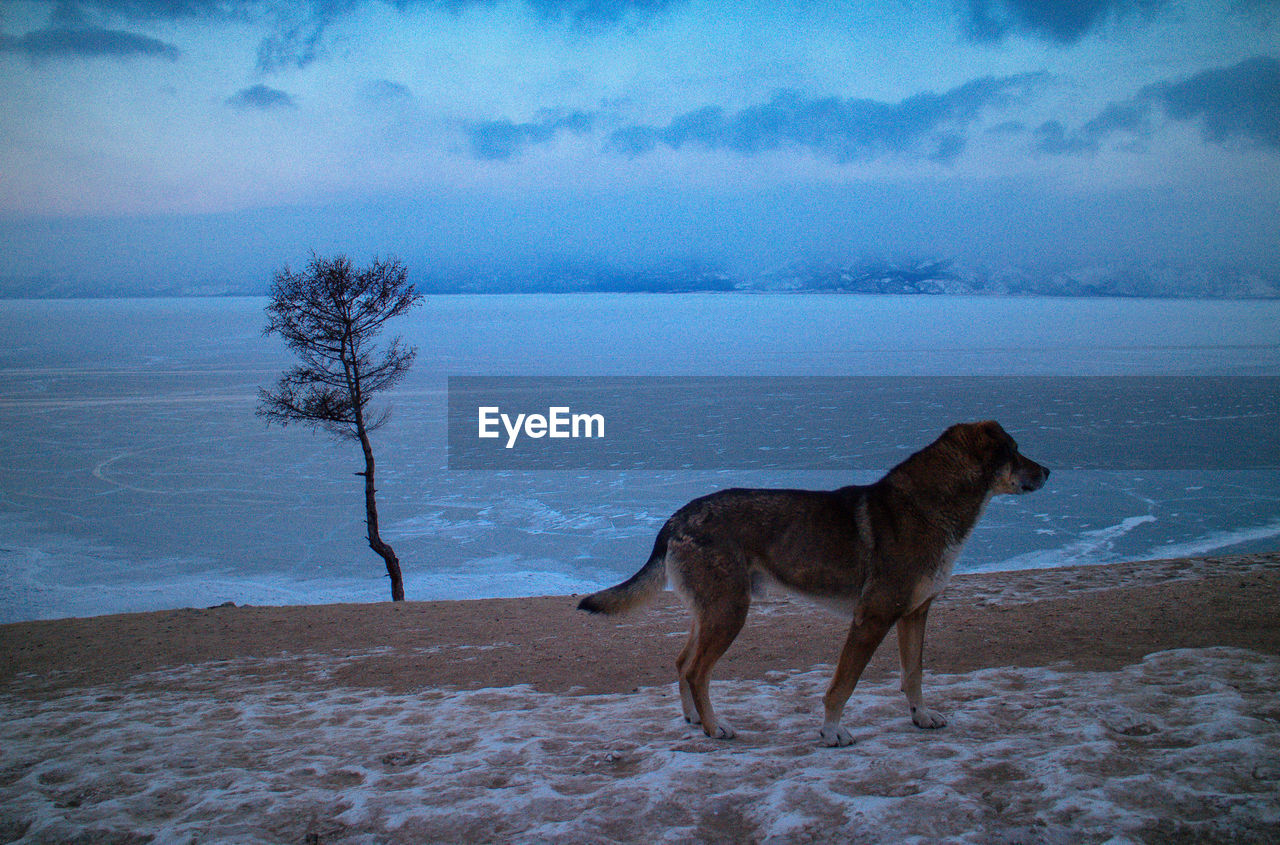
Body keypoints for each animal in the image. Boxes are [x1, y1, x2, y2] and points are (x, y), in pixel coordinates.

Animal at [581, 419, 1049, 742]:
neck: (929, 509)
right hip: (730, 614)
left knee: (682, 663)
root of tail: (677, 517)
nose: (1048, 471)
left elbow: (913, 674)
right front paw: (831, 732)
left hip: (712, 612)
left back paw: (696, 718)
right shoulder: (871, 619)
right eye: (1015, 450)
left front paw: (921, 716)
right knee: (697, 672)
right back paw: (715, 728)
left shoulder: (915, 614)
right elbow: (842, 685)